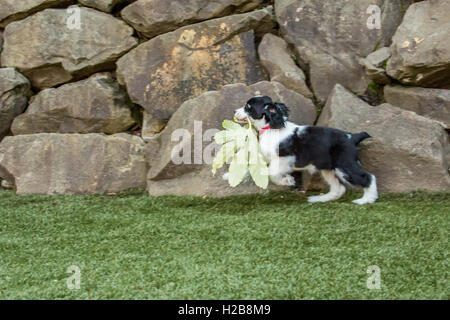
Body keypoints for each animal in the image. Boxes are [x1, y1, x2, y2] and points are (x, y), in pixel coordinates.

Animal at [230, 95, 378, 205]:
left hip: (344, 165)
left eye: (248, 107)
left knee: (368, 177)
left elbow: (272, 174)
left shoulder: (284, 159)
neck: (271, 128)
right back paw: (319, 199)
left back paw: (366, 200)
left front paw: (288, 181)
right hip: (327, 168)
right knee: (339, 188)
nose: (234, 111)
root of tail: (351, 137)